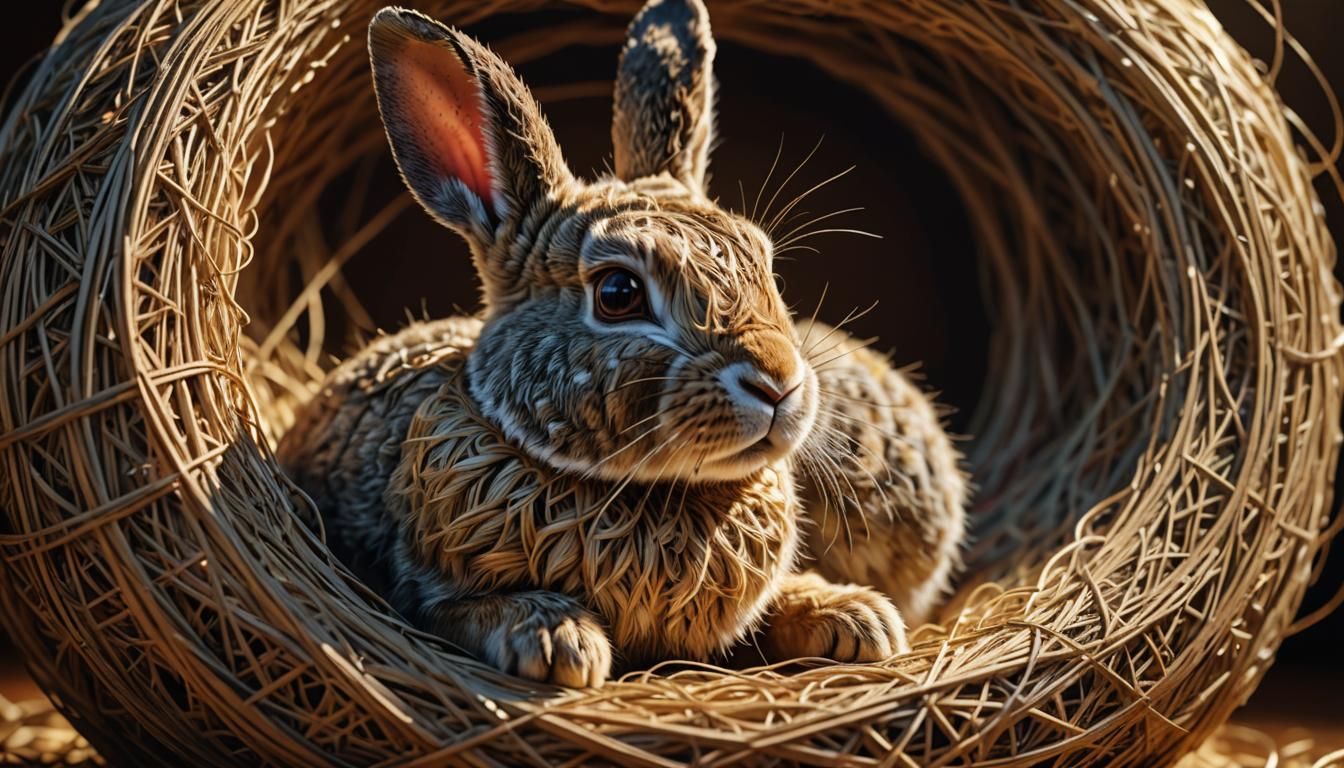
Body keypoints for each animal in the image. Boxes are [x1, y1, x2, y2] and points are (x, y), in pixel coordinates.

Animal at [277, 0, 966, 688]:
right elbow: (457, 609)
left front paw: (855, 618)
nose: (779, 383)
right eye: (617, 293)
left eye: (766, 267)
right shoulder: (422, 592)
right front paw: (558, 641)